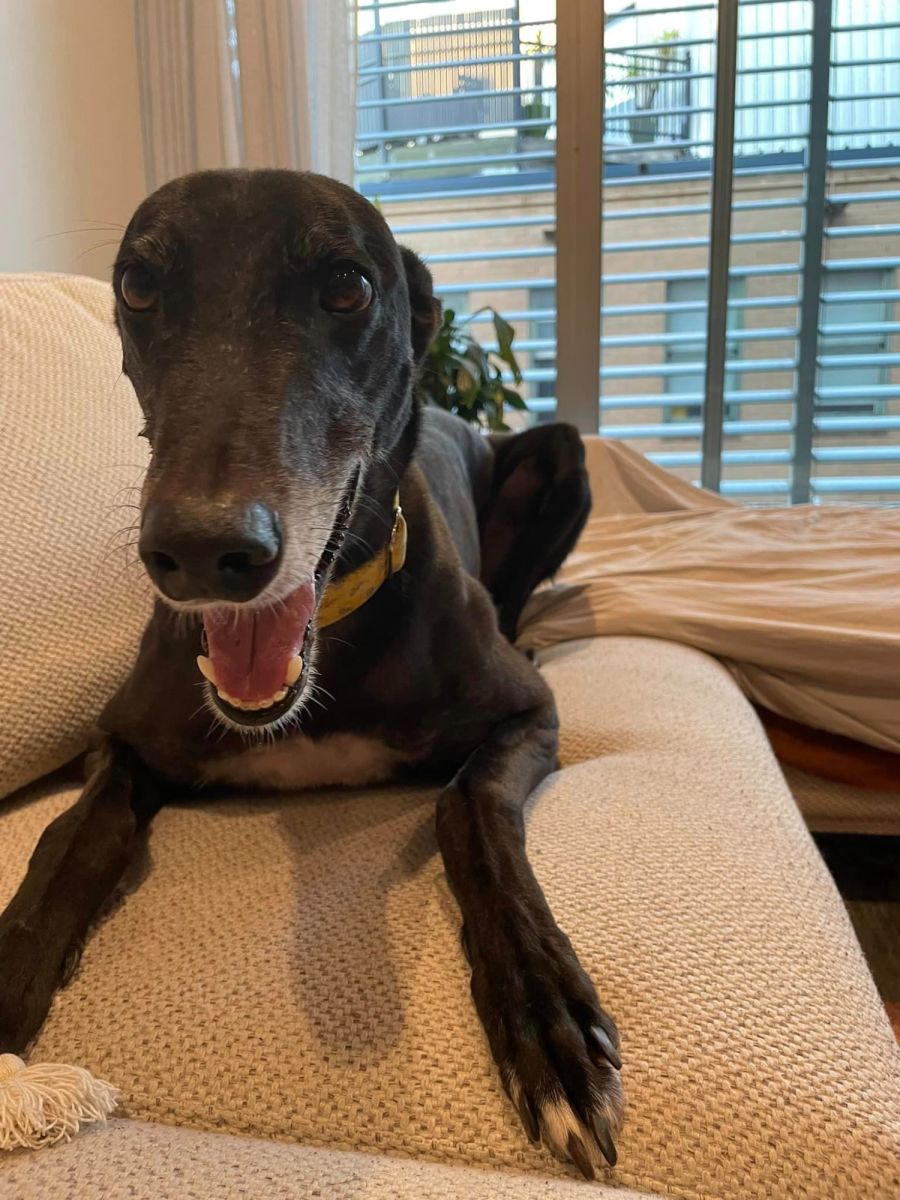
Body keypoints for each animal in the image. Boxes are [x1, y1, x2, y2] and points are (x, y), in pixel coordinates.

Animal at [0, 169, 621, 1178]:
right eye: (137, 286)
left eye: (348, 285)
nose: (202, 553)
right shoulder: (120, 742)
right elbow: (69, 838)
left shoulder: (526, 717)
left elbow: (469, 806)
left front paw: (546, 1015)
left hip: (561, 455)